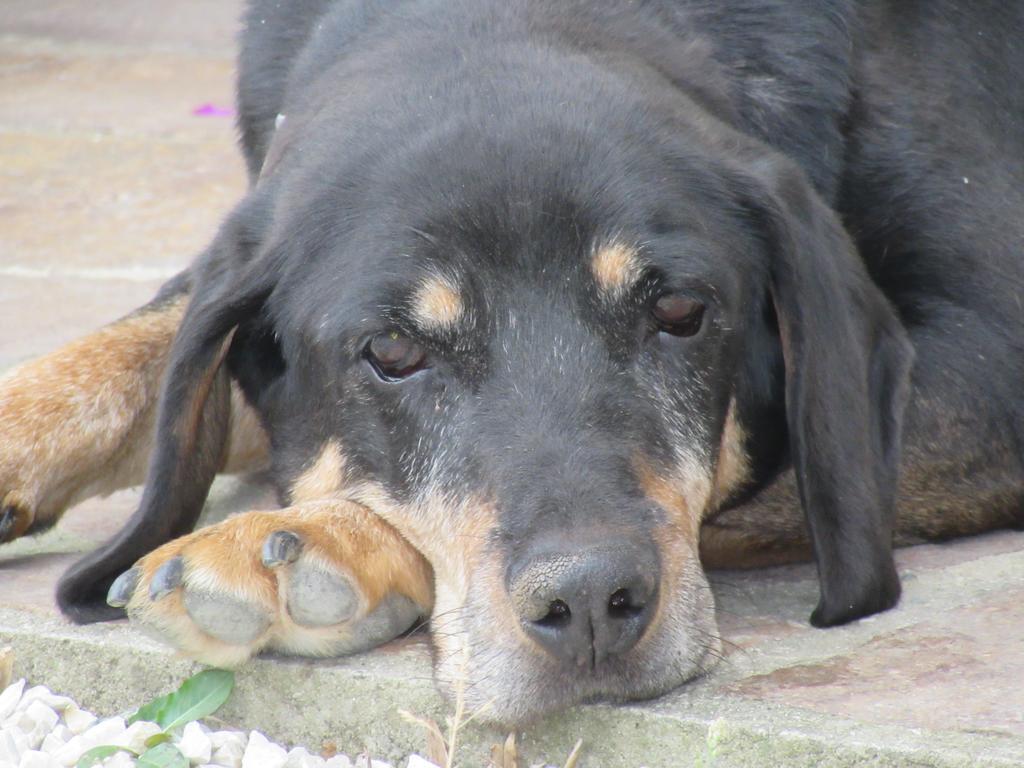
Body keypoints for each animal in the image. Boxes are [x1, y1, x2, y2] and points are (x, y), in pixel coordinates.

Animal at [2, 0, 1024, 724]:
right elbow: (142, 338)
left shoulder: (988, 361)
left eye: (681, 313)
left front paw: (312, 543)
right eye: (393, 349)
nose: (592, 603)